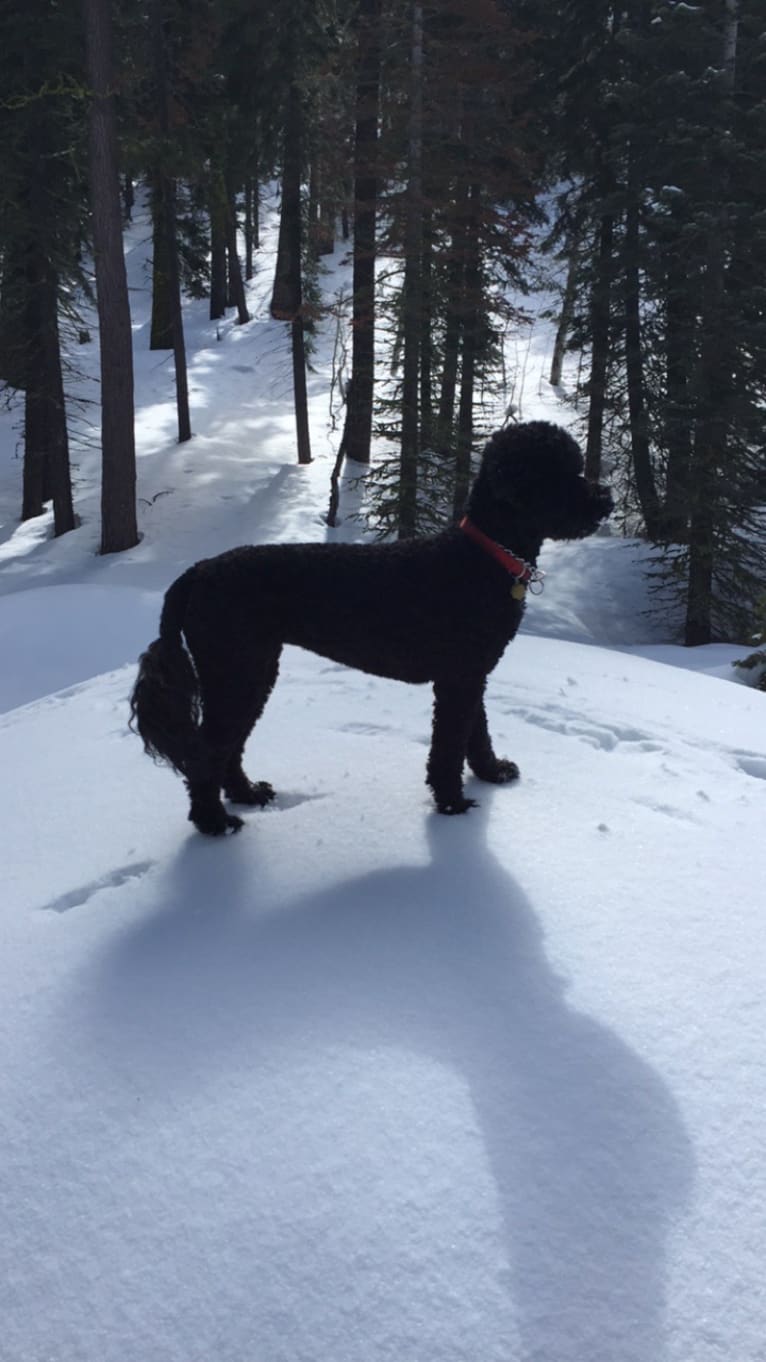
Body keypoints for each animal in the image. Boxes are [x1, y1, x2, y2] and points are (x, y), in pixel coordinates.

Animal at [129, 419, 607, 833]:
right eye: (558, 473)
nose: (606, 499)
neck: (482, 557)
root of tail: (198, 571)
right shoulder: (457, 678)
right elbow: (450, 745)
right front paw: (452, 804)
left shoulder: (472, 674)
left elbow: (478, 731)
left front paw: (491, 772)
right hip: (234, 670)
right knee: (207, 752)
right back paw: (213, 822)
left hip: (253, 670)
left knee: (229, 745)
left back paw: (246, 794)